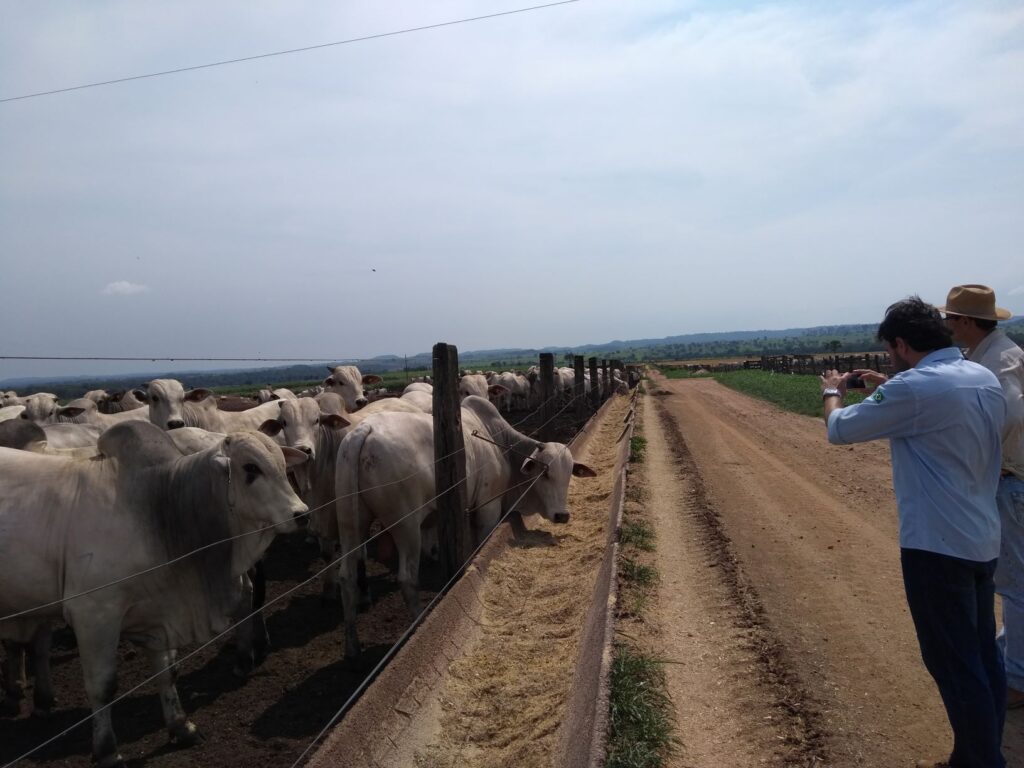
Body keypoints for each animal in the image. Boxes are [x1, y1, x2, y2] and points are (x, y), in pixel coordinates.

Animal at [0, 423, 305, 765]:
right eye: (250, 468)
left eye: (283, 464)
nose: (301, 513)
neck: (161, 505)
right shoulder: (93, 613)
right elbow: (102, 686)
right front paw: (107, 750)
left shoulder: (159, 612)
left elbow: (166, 671)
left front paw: (181, 726)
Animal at [335, 397, 593, 655]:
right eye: (545, 473)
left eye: (569, 474)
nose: (562, 515)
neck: (498, 442)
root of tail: (365, 429)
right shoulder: (488, 506)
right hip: (406, 526)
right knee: (406, 579)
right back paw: (418, 622)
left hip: (351, 524)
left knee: (346, 577)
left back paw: (352, 646)